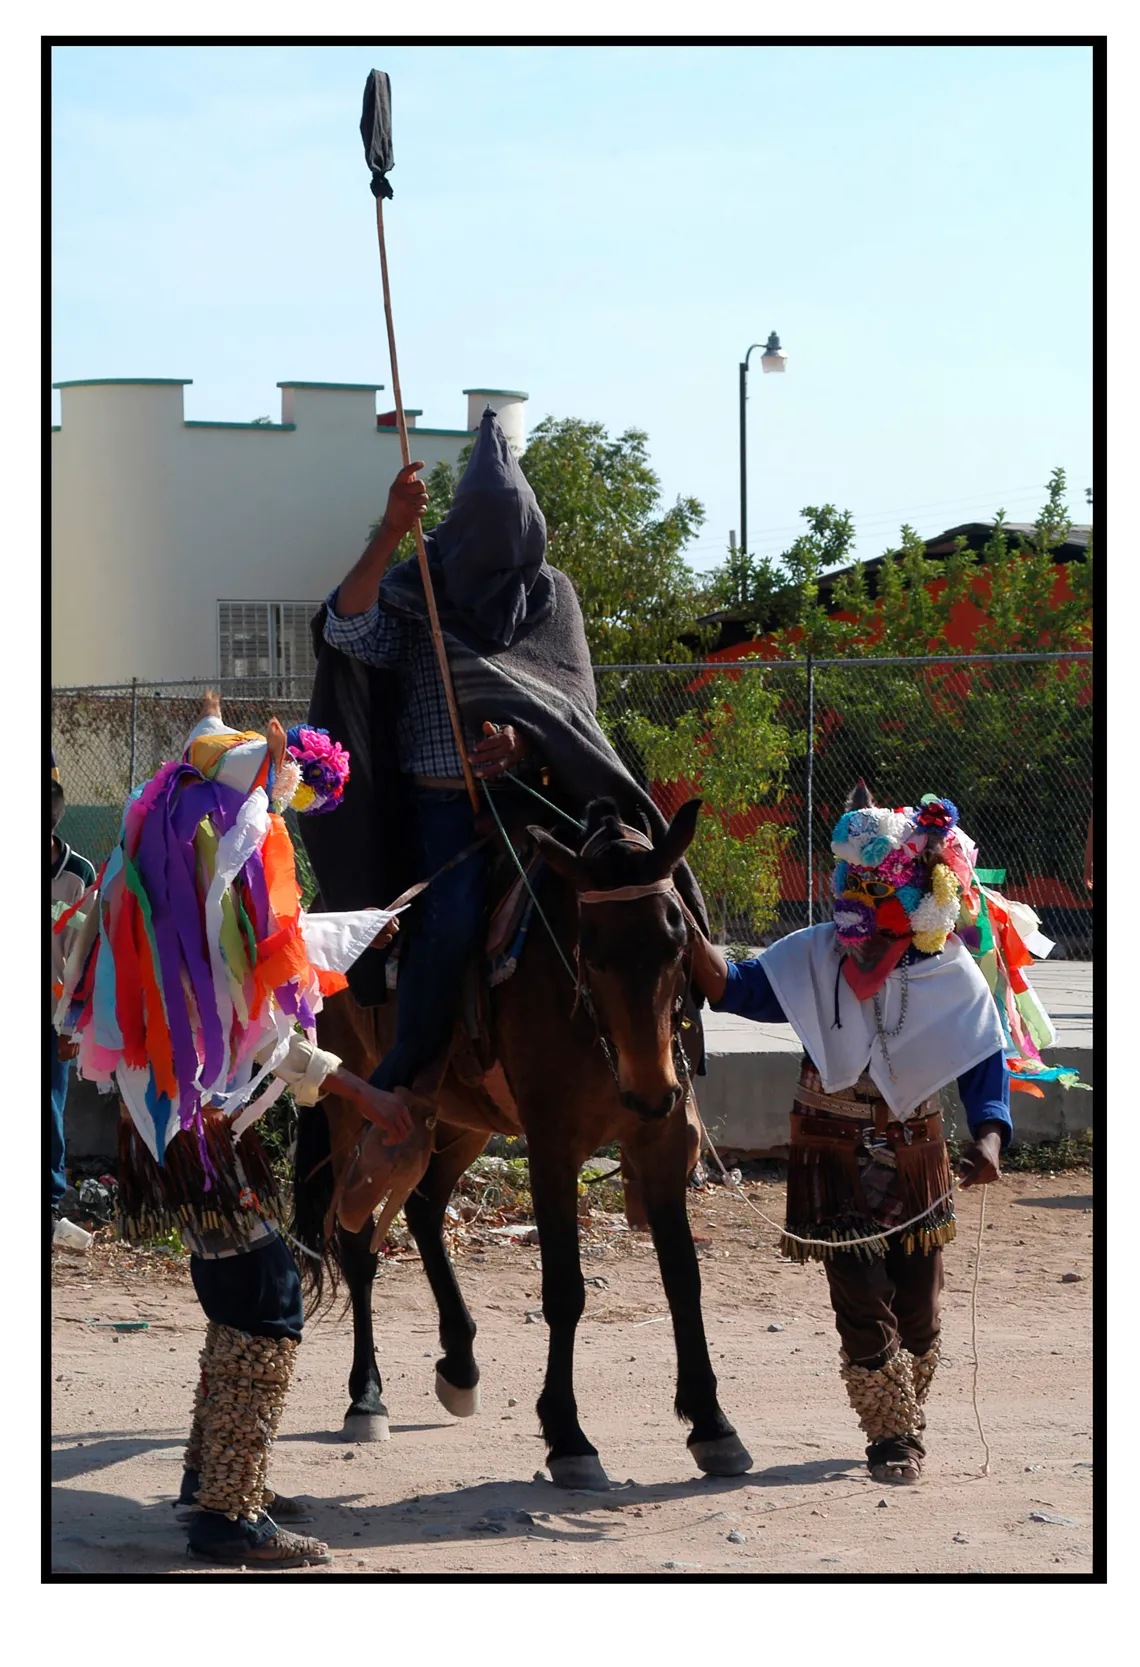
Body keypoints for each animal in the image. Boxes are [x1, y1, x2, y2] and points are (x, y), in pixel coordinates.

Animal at [290, 793, 753, 1486]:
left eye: (679, 940)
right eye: (593, 950)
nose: (650, 1090)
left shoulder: (663, 1143)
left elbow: (684, 1279)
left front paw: (711, 1422)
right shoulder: (552, 1147)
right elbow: (564, 1288)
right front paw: (568, 1436)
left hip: (461, 1121)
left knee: (425, 1210)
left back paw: (459, 1365)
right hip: (354, 1110)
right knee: (356, 1243)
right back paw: (366, 1396)